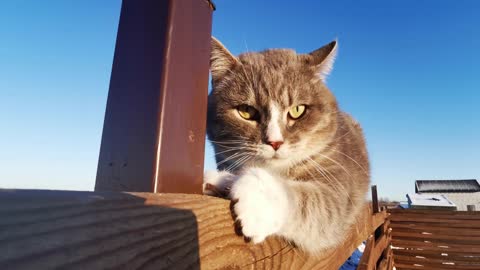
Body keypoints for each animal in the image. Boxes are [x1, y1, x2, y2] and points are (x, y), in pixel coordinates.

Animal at [204, 37, 370, 254]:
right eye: (246, 111)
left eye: (298, 110)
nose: (275, 142)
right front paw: (219, 179)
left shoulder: (337, 185)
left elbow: (317, 204)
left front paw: (257, 197)